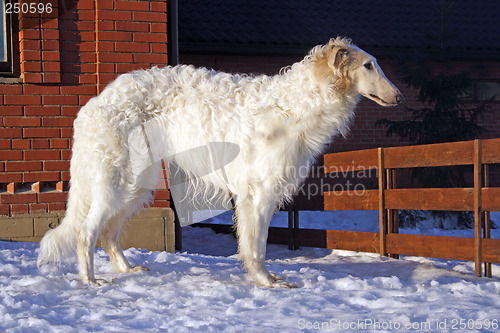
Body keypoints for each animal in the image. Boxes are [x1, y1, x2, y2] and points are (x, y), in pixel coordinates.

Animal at [37, 35, 404, 286]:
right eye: (368, 65)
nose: (399, 97)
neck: (297, 103)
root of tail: (95, 103)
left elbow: (256, 243)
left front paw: (264, 280)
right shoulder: (257, 192)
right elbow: (256, 246)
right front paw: (265, 282)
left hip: (135, 183)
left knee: (109, 232)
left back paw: (127, 269)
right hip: (117, 181)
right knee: (86, 231)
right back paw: (90, 280)